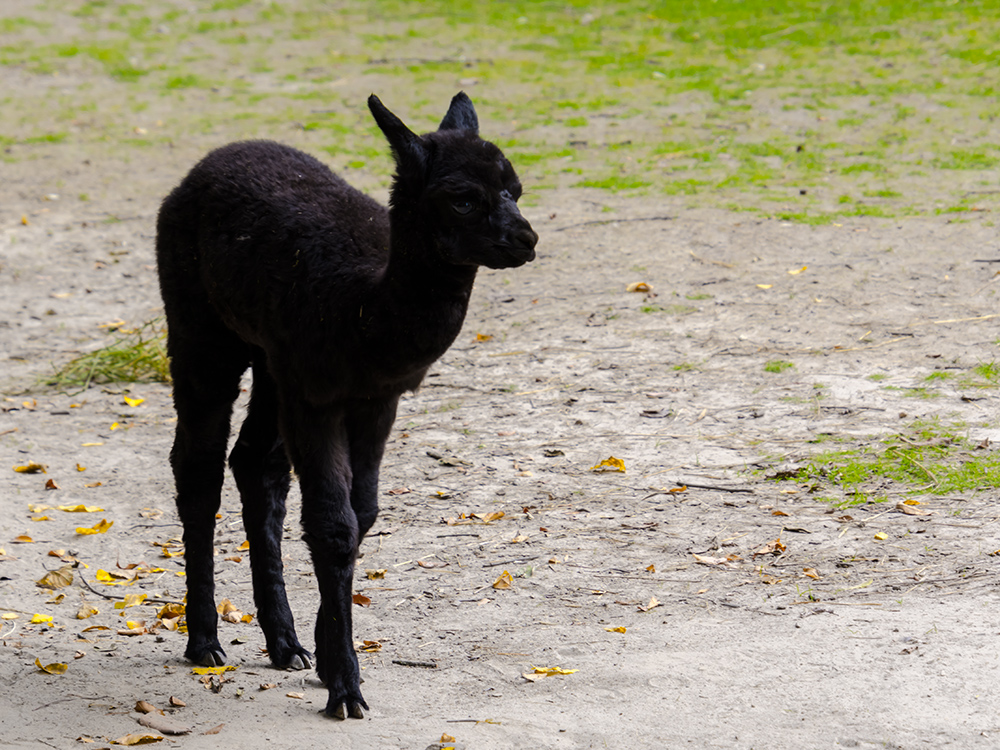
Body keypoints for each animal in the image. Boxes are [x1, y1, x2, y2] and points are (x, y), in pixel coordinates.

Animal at [155, 92, 537, 719]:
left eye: (515, 189)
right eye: (462, 198)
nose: (526, 239)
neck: (361, 311)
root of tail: (215, 159)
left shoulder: (372, 399)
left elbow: (363, 515)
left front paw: (328, 656)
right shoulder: (316, 396)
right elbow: (333, 525)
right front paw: (347, 690)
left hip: (270, 360)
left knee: (255, 466)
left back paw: (284, 643)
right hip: (200, 330)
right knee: (199, 468)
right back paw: (204, 641)